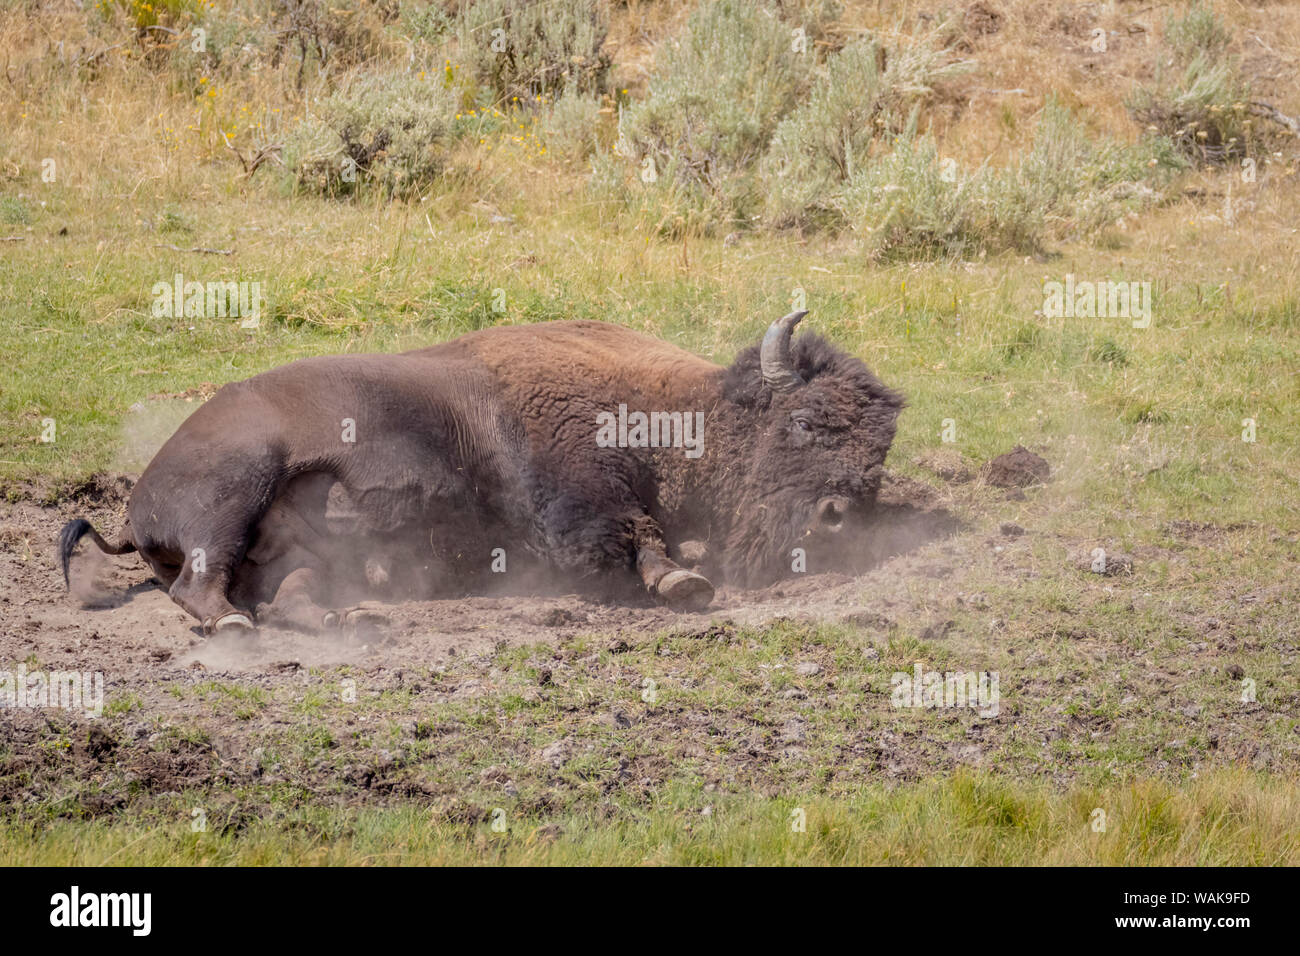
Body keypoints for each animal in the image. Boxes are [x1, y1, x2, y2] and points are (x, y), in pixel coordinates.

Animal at [61, 314, 904, 639]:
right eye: (805, 422)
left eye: (882, 452)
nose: (837, 519)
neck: (678, 408)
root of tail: (138, 502)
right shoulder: (576, 498)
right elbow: (625, 536)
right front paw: (683, 581)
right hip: (235, 489)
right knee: (200, 586)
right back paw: (239, 626)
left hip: (292, 545)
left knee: (284, 589)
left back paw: (349, 617)